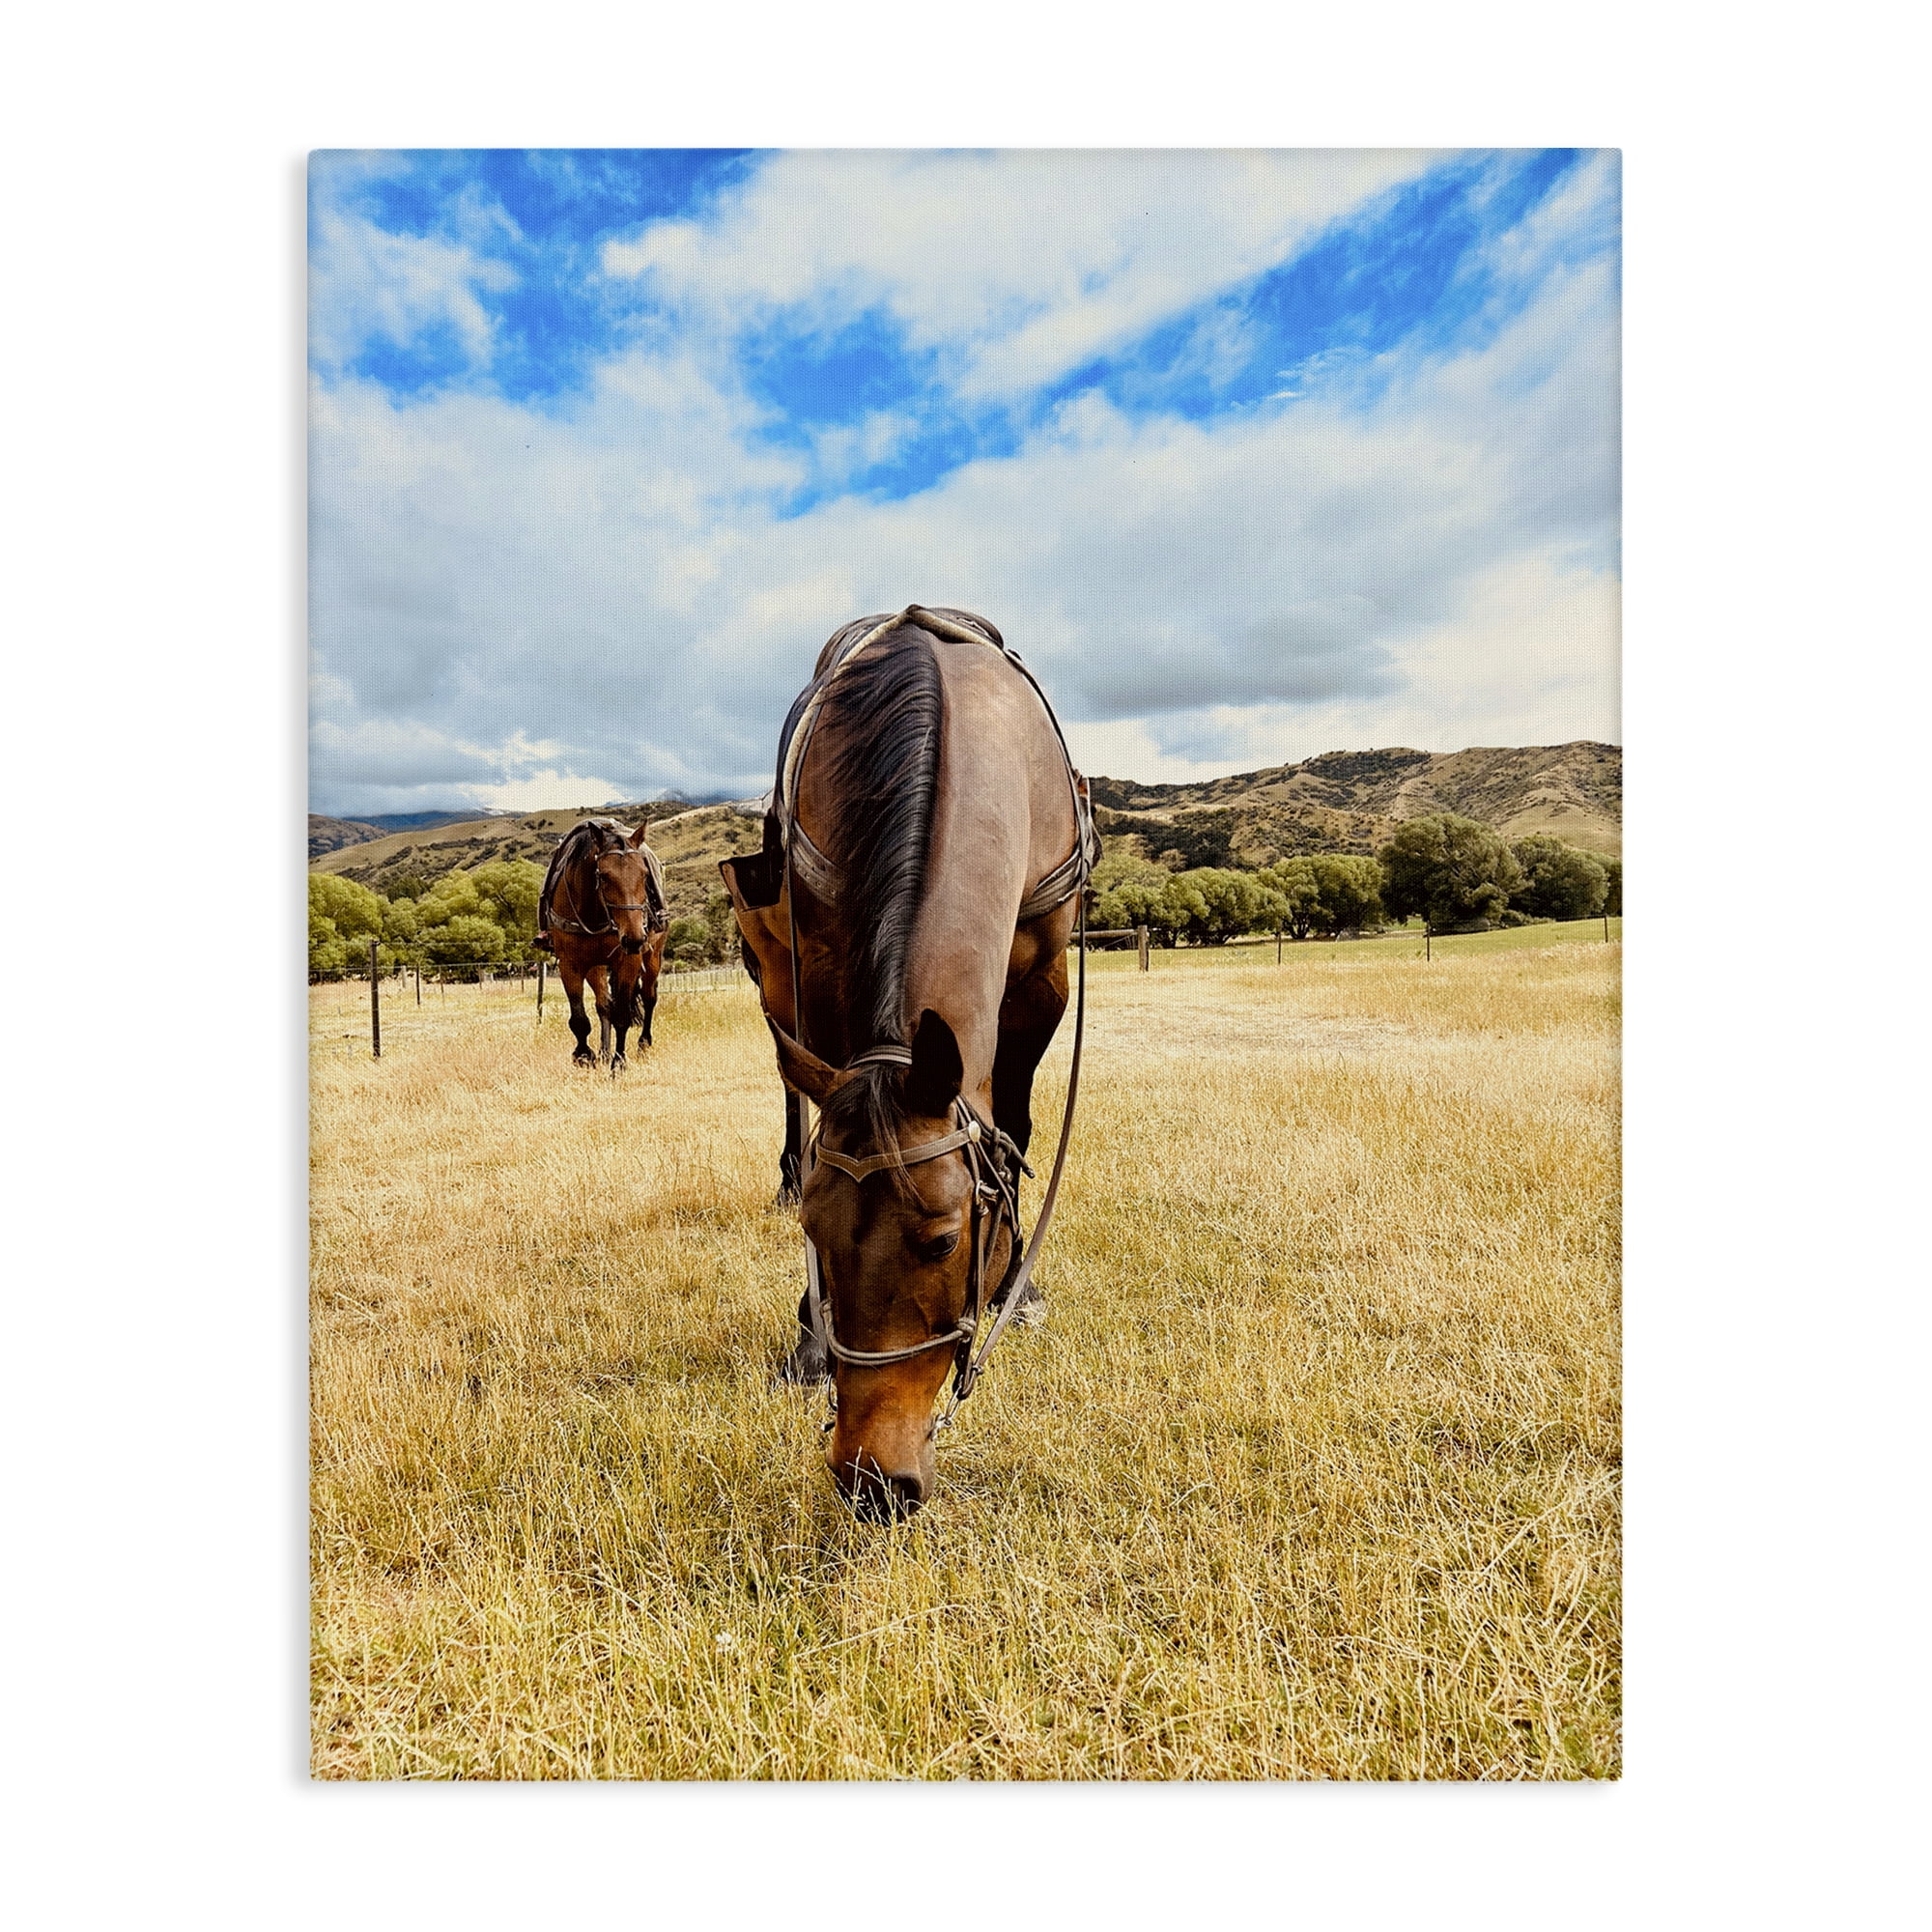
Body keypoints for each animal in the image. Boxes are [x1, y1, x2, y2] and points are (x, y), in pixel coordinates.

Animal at [537, 817, 669, 1072]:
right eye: (604, 876)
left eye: (644, 875)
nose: (634, 938)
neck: (595, 912)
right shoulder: (570, 964)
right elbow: (580, 1018)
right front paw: (584, 1055)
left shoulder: (629, 960)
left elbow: (622, 1015)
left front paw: (619, 1063)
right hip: (596, 965)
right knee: (604, 1004)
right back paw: (604, 1051)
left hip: (653, 957)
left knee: (649, 998)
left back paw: (643, 1044)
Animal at [719, 605, 1099, 1519]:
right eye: (817, 1231)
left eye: (945, 1239)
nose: (871, 1482)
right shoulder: (822, 968)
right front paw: (809, 1335)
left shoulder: (1043, 972)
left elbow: (1016, 1122)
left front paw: (1018, 1287)